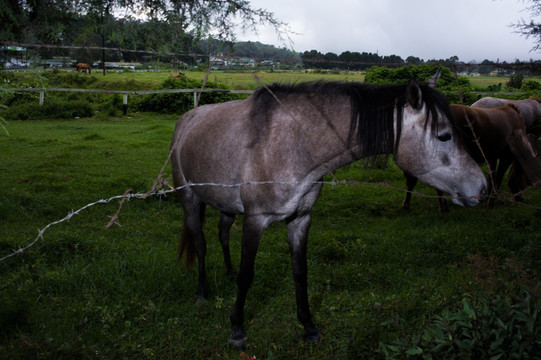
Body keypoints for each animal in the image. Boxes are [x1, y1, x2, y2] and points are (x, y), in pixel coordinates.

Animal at [170, 75, 486, 346]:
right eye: (444, 136)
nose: (482, 188)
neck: (289, 144)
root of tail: (188, 117)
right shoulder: (254, 221)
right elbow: (247, 276)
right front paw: (237, 329)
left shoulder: (300, 219)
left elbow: (300, 272)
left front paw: (308, 327)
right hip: (190, 199)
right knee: (200, 242)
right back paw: (202, 293)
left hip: (226, 206)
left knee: (223, 234)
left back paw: (226, 271)